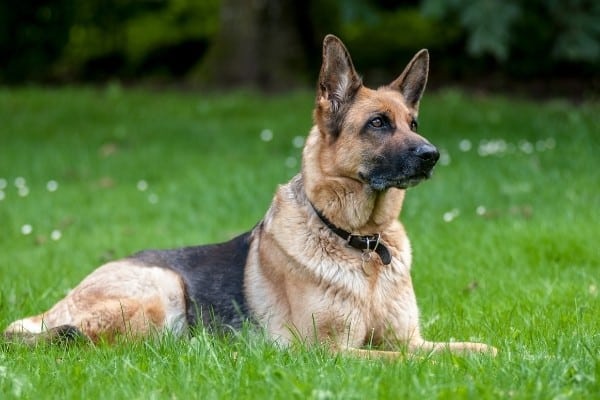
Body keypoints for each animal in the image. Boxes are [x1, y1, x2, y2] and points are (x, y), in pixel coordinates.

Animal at [3, 36, 496, 358]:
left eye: (413, 124)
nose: (432, 155)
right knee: (85, 340)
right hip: (161, 290)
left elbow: (474, 350)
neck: (362, 244)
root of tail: (50, 310)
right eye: (378, 124)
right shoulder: (327, 353)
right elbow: (399, 361)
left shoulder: (411, 338)